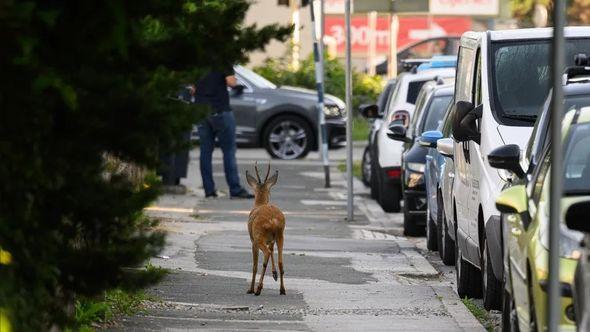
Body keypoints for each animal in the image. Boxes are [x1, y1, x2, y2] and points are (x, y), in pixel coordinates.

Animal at [245, 162, 286, 294]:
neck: (260, 203)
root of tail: (273, 220)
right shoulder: (271, 240)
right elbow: (272, 251)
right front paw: (274, 274)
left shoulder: (253, 241)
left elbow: (254, 265)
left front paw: (251, 289)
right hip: (280, 235)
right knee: (280, 260)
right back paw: (282, 289)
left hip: (258, 237)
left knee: (266, 254)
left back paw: (258, 289)